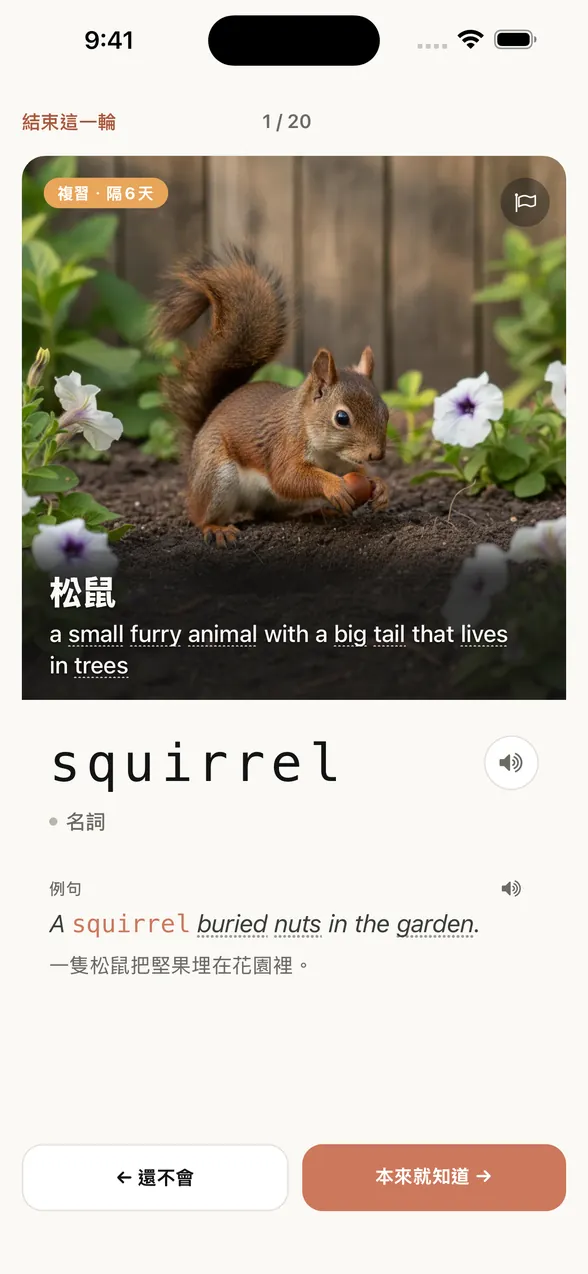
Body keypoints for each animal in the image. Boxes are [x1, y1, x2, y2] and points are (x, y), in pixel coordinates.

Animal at [154, 247, 389, 547]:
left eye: (386, 412)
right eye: (341, 418)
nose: (376, 454)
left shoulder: (342, 461)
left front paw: (380, 486)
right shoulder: (284, 446)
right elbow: (288, 477)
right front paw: (333, 486)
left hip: (275, 501)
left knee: (272, 514)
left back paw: (314, 514)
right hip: (216, 476)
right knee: (201, 516)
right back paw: (216, 528)